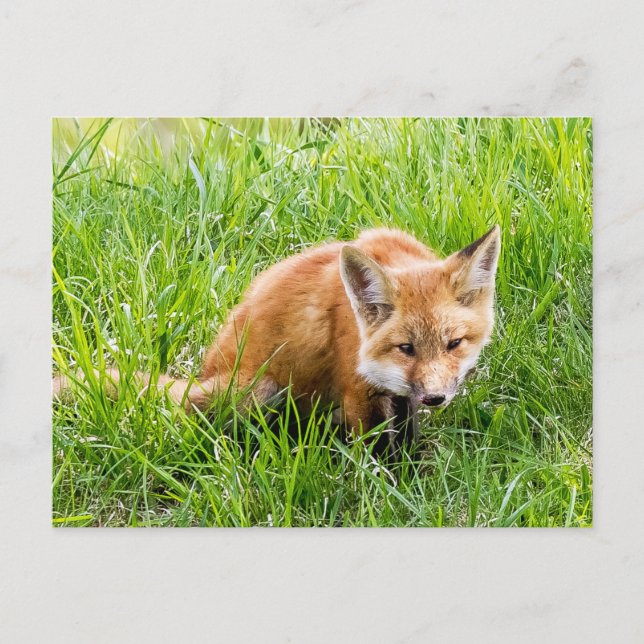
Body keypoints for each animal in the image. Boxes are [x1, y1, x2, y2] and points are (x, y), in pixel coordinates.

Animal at [54, 225, 501, 451]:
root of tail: (206, 374)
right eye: (406, 348)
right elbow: (378, 457)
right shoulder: (360, 392)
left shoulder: (400, 395)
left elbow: (407, 444)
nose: (436, 399)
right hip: (259, 392)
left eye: (454, 344)